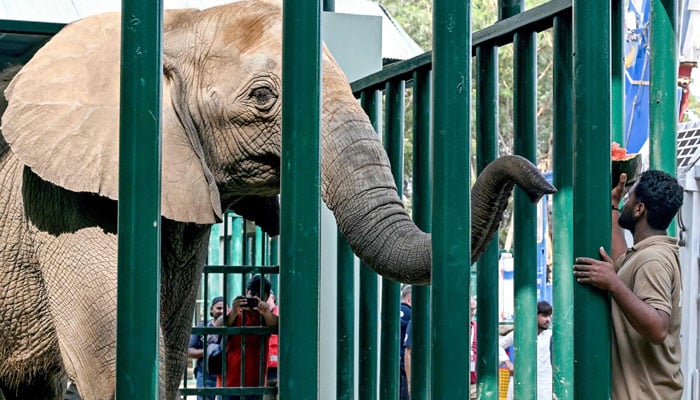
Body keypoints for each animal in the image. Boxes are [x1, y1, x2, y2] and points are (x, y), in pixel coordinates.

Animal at [0, 1, 556, 398]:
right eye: (263, 97)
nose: (540, 183)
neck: (179, 24)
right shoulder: (64, 198)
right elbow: (113, 359)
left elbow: (170, 349)